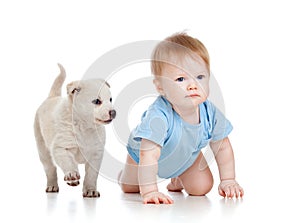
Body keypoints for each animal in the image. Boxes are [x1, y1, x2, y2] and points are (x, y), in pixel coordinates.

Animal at [33, 64, 116, 197]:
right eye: (97, 101)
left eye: (110, 99)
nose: (113, 112)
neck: (85, 127)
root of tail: (52, 97)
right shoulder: (60, 148)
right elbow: (68, 162)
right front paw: (72, 174)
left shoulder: (96, 154)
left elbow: (91, 175)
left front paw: (90, 190)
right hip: (42, 148)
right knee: (50, 168)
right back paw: (52, 186)